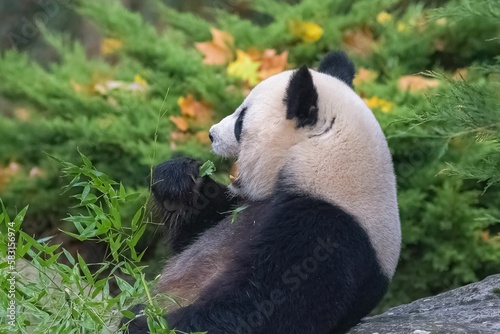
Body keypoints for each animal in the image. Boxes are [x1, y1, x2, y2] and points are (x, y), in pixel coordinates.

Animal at [125, 51, 402, 332]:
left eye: (241, 121)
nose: (212, 134)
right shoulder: (245, 206)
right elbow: (194, 231)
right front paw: (177, 177)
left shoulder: (329, 232)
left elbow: (265, 305)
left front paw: (145, 322)